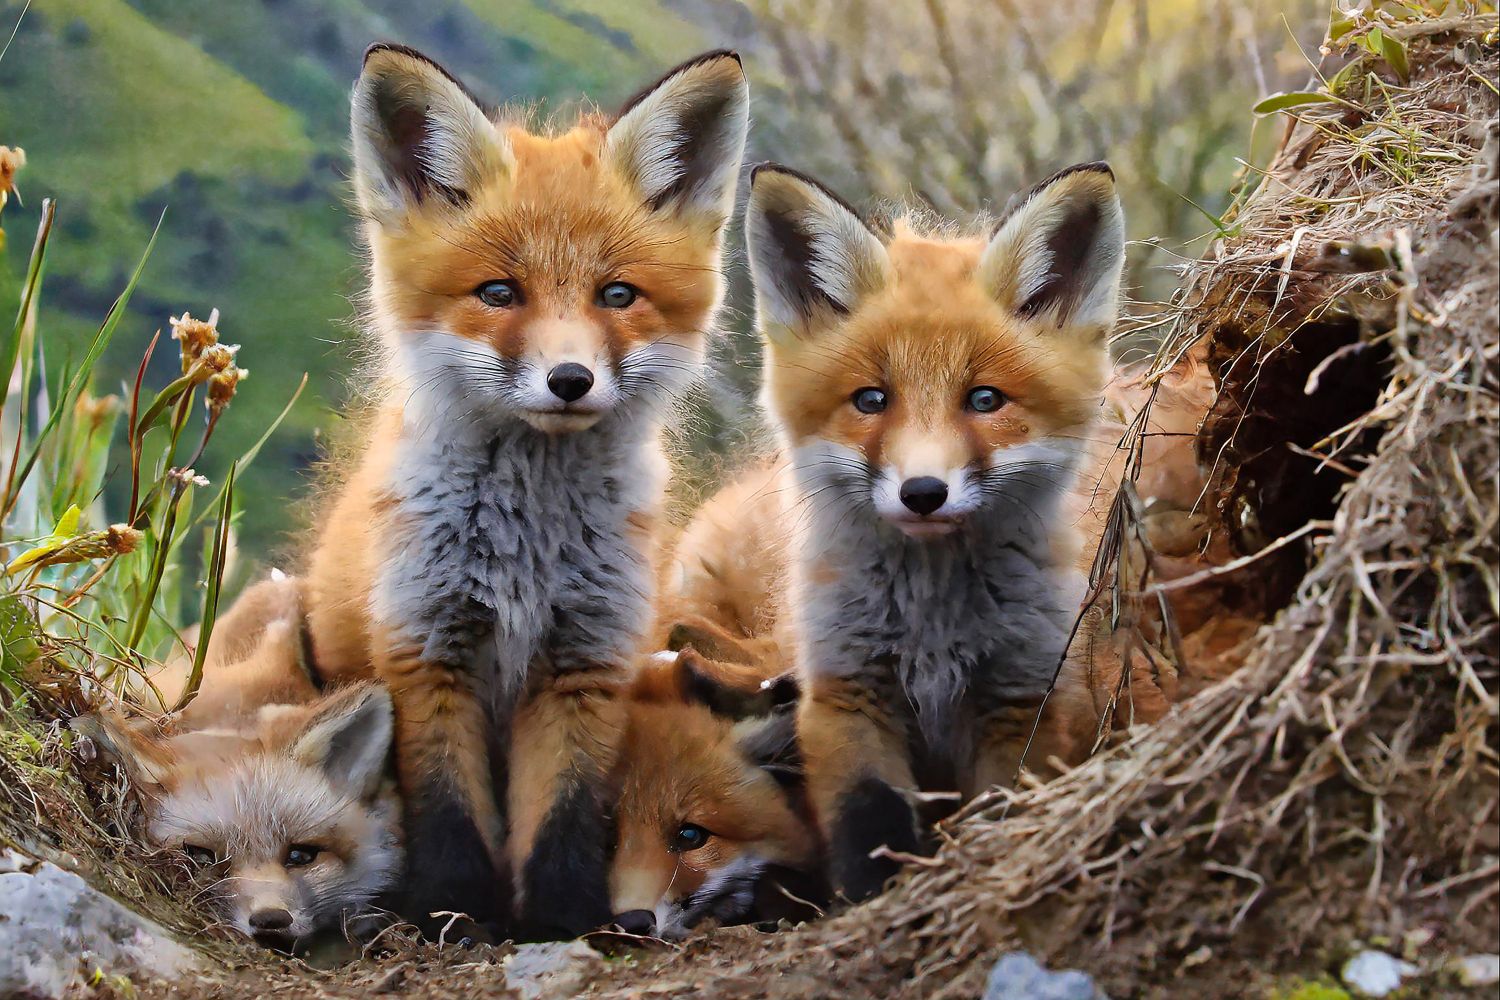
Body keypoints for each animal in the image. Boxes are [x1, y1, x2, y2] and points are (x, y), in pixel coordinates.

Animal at [303, 44, 750, 941]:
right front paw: (452, 916)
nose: (570, 380)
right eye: (499, 294)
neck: (525, 551)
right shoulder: (427, 649)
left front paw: (564, 920)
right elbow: (450, 814)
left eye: (617, 295)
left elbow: (561, 817)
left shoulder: (584, 659)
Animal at [744, 162, 1128, 899]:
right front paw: (869, 903)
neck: (932, 627)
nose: (923, 493)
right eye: (871, 399)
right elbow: (868, 825)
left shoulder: (1021, 702)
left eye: (984, 400)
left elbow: (1001, 811)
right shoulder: (847, 691)